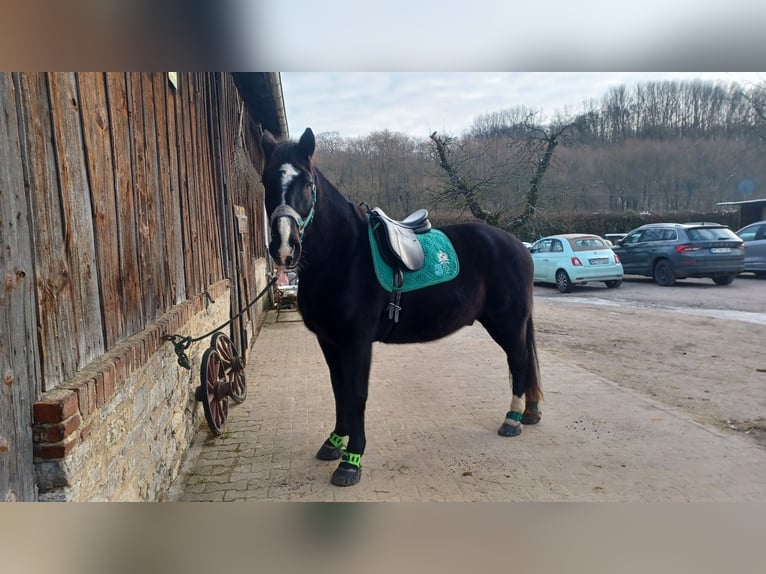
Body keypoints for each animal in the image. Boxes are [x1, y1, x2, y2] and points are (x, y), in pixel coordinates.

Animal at [260, 127, 544, 486]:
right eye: (266, 181)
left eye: (308, 184)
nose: (285, 248)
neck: (344, 256)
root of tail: (518, 246)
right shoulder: (329, 341)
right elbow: (339, 390)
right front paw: (334, 443)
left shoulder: (357, 342)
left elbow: (356, 394)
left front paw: (351, 461)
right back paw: (530, 413)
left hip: (507, 322)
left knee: (519, 361)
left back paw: (513, 419)